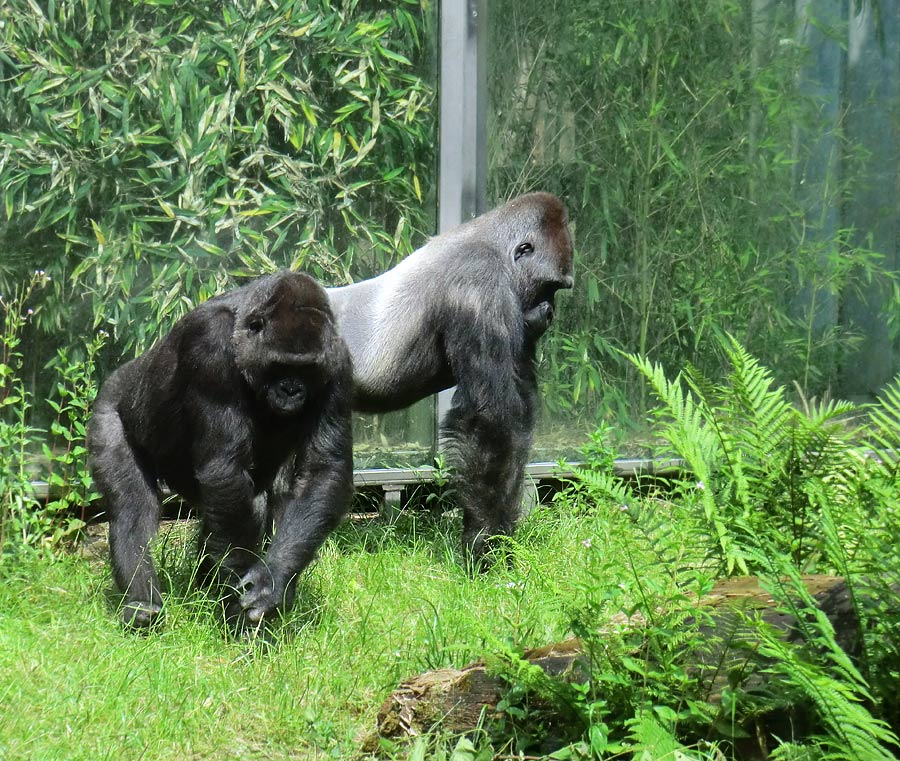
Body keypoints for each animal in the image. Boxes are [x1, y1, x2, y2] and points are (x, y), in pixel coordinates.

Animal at [89, 270, 354, 628]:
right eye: (280, 366)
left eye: (307, 370)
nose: (291, 391)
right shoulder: (210, 345)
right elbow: (224, 468)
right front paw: (238, 611)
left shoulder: (338, 361)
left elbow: (322, 470)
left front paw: (273, 579)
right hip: (111, 407)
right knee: (132, 507)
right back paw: (142, 602)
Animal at [326, 194, 572, 564]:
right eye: (550, 287)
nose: (550, 313)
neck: (491, 243)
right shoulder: (481, 285)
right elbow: (492, 418)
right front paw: (486, 545)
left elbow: (517, 415)